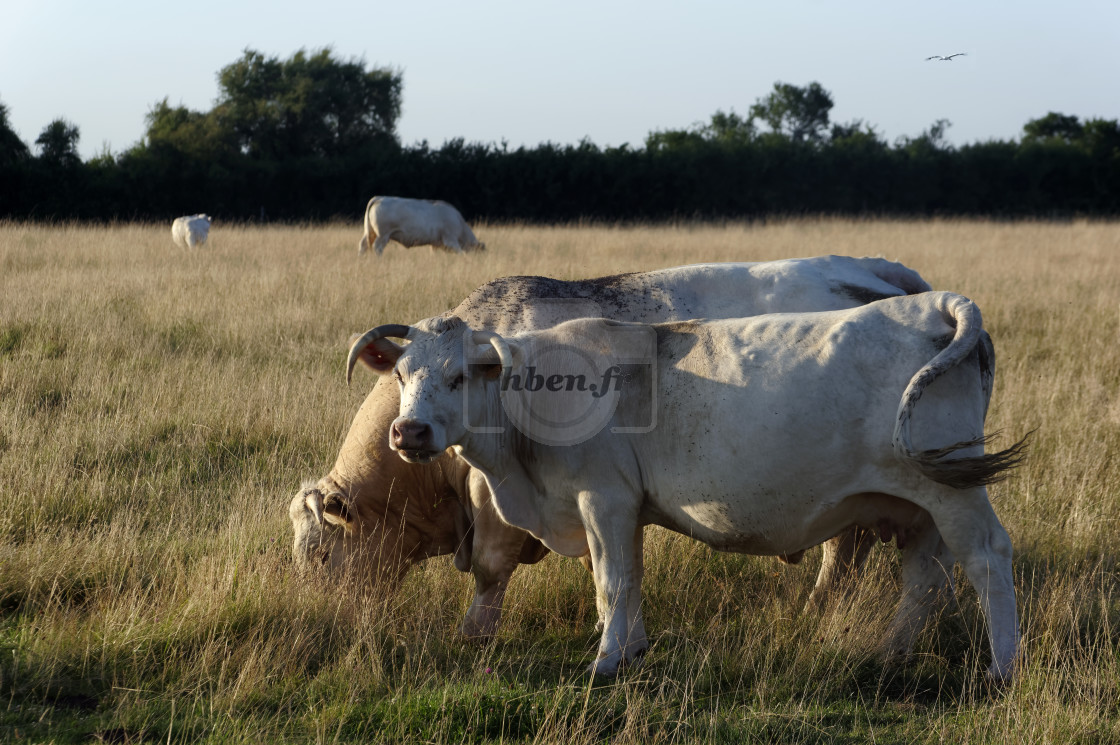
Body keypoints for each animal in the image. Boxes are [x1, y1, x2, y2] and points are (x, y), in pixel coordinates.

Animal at [297, 254, 936, 631]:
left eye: (319, 555)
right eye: (403, 376)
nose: (321, 619)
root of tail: (876, 273)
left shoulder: (499, 502)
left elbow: (489, 572)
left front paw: (474, 637)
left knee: (844, 548)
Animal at [353, 291, 1025, 681]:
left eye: (460, 375)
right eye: (405, 374)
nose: (409, 431)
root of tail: (935, 302)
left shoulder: (604, 499)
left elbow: (611, 581)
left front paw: (605, 661)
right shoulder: (625, 508)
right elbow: (626, 581)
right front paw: (631, 649)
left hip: (952, 491)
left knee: (988, 559)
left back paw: (1002, 669)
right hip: (921, 507)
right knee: (926, 579)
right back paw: (892, 652)